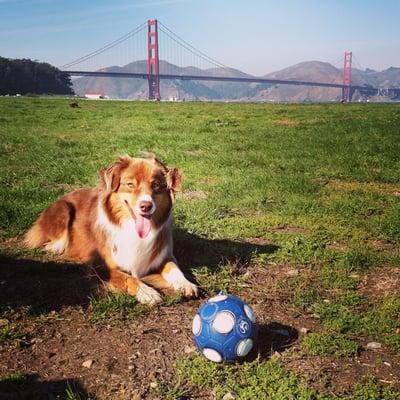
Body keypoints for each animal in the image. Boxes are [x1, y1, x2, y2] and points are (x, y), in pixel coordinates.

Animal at [24, 153, 198, 304]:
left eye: (155, 185)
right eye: (130, 184)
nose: (146, 206)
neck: (131, 229)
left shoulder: (164, 255)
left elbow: (174, 268)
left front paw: (186, 284)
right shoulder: (99, 265)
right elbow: (127, 277)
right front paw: (146, 292)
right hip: (64, 209)